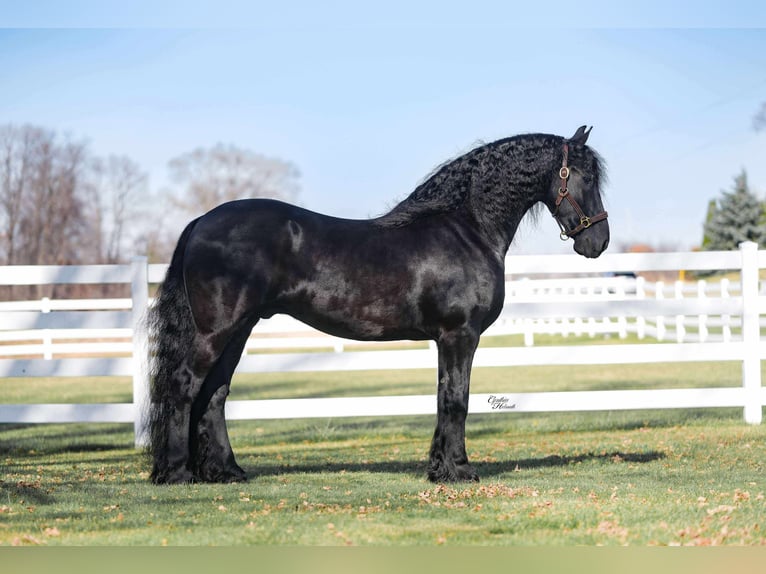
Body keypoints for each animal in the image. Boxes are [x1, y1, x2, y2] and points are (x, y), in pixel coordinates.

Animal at [146, 126, 609, 484]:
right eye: (584, 176)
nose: (597, 242)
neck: (467, 229)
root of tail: (200, 222)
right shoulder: (460, 335)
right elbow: (457, 398)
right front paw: (460, 470)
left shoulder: (446, 339)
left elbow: (443, 395)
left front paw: (439, 468)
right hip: (217, 329)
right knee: (186, 385)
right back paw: (178, 473)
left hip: (239, 330)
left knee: (215, 394)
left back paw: (226, 472)